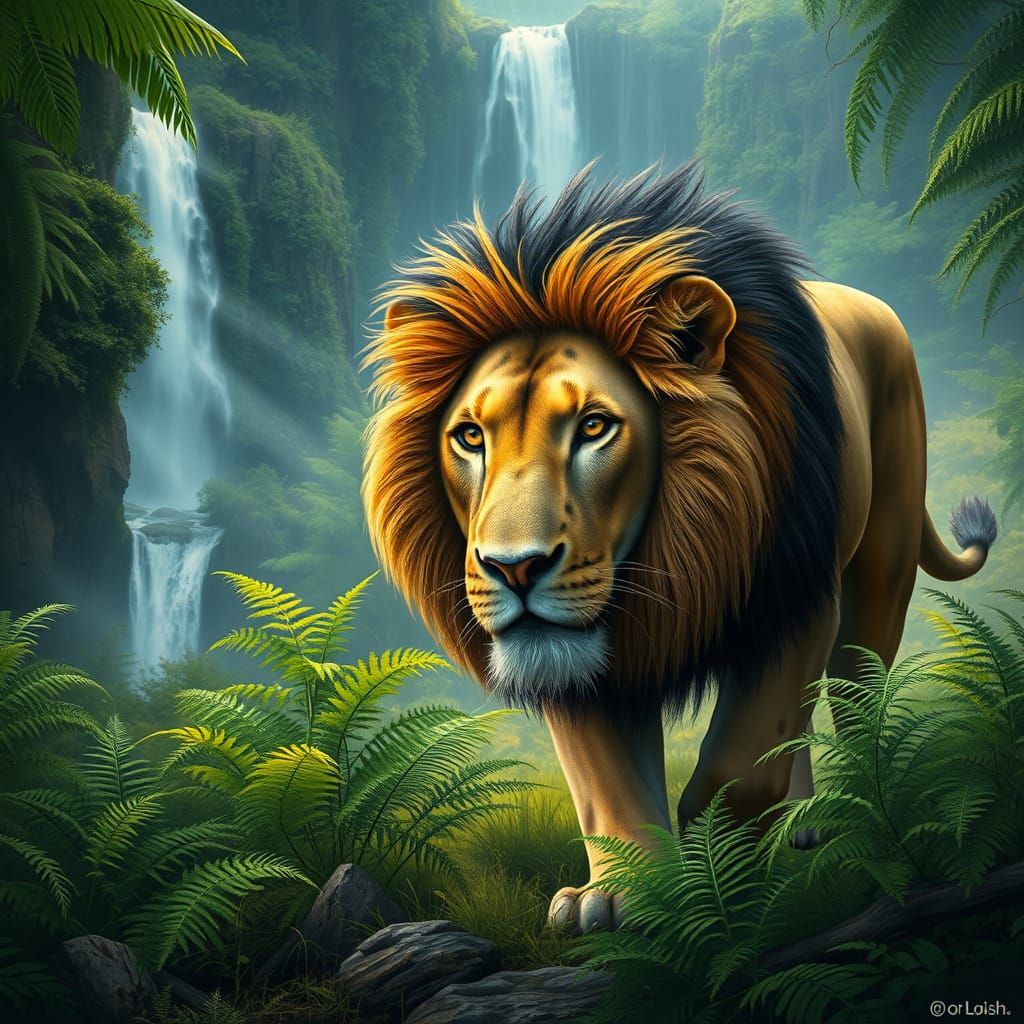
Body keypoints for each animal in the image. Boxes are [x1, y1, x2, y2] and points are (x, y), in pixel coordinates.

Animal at [362, 164, 997, 933]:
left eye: (594, 427)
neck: (673, 559)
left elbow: (742, 765)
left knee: (855, 696)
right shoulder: (580, 660)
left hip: (878, 569)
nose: (515, 568)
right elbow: (606, 782)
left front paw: (716, 865)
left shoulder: (793, 602)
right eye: (470, 436)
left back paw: (856, 814)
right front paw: (622, 895)